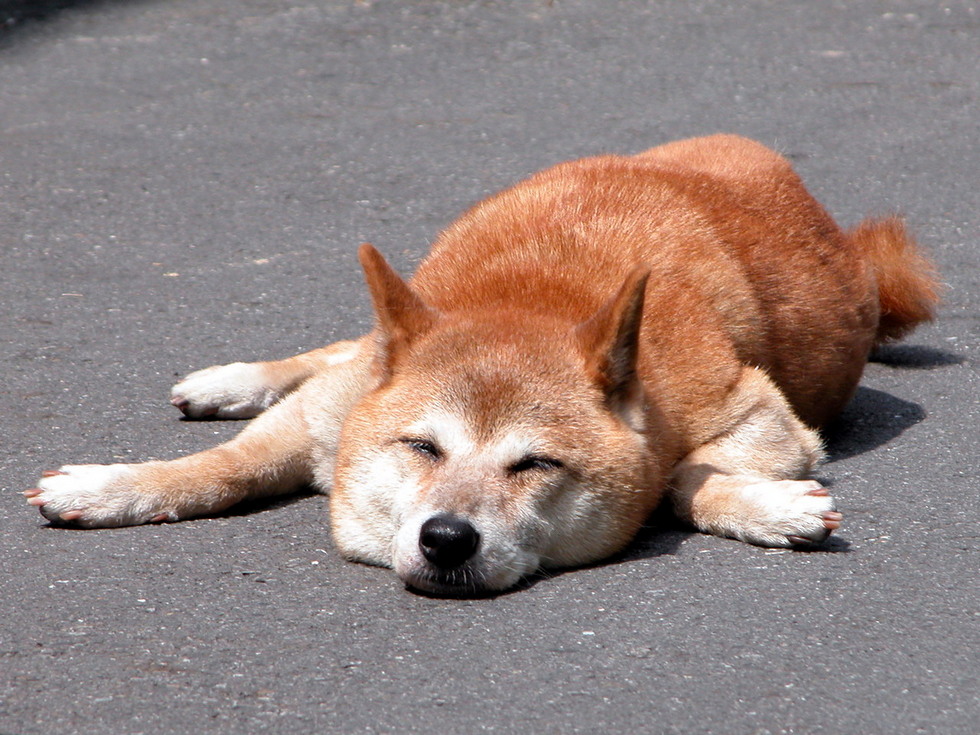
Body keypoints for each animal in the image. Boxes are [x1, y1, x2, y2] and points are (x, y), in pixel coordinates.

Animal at [24, 135, 940, 600]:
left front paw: (763, 504)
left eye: (535, 464)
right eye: (423, 447)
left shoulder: (758, 415)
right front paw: (113, 485)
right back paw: (235, 377)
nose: (447, 536)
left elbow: (682, 475)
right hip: (370, 348)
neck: (522, 299)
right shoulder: (333, 417)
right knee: (334, 352)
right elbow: (221, 468)